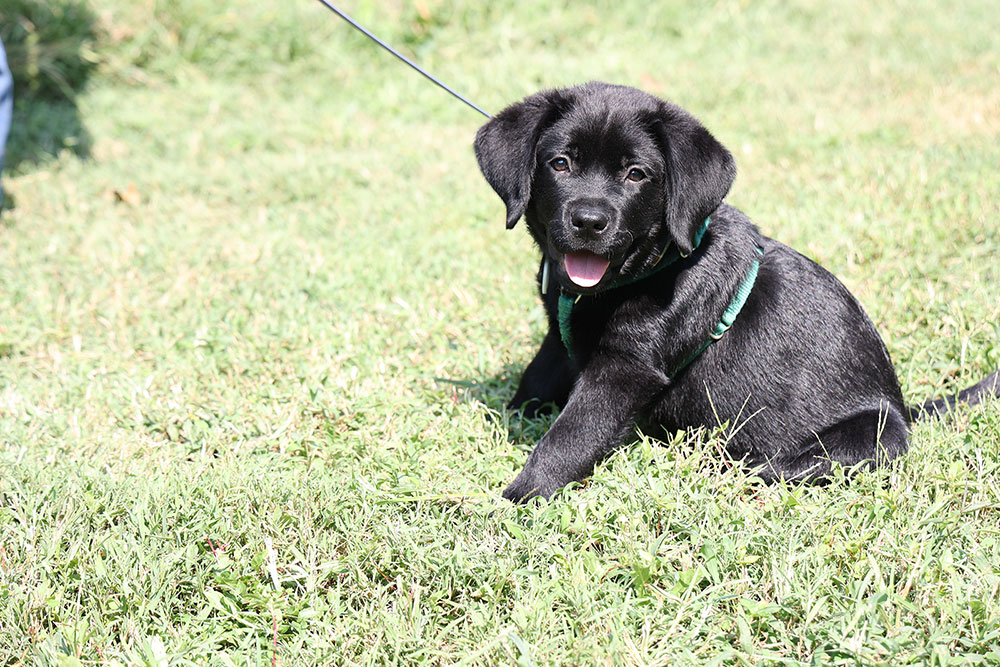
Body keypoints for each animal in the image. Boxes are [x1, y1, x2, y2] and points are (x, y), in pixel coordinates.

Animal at [472, 82, 996, 500]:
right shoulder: (559, 335)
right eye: (560, 164)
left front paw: (517, 498)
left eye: (636, 174)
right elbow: (539, 375)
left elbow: (569, 437)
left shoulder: (625, 370)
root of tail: (905, 409)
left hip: (859, 439)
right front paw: (506, 418)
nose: (588, 220)